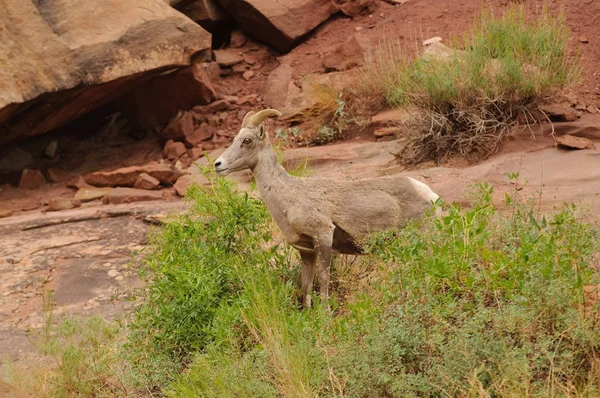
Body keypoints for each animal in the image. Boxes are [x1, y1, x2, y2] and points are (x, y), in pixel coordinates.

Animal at [213, 109, 438, 308]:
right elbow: (306, 284)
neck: (289, 197)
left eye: (247, 140)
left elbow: (323, 279)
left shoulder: (323, 236)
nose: (218, 164)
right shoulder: (306, 251)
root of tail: (430, 195)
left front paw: (326, 313)